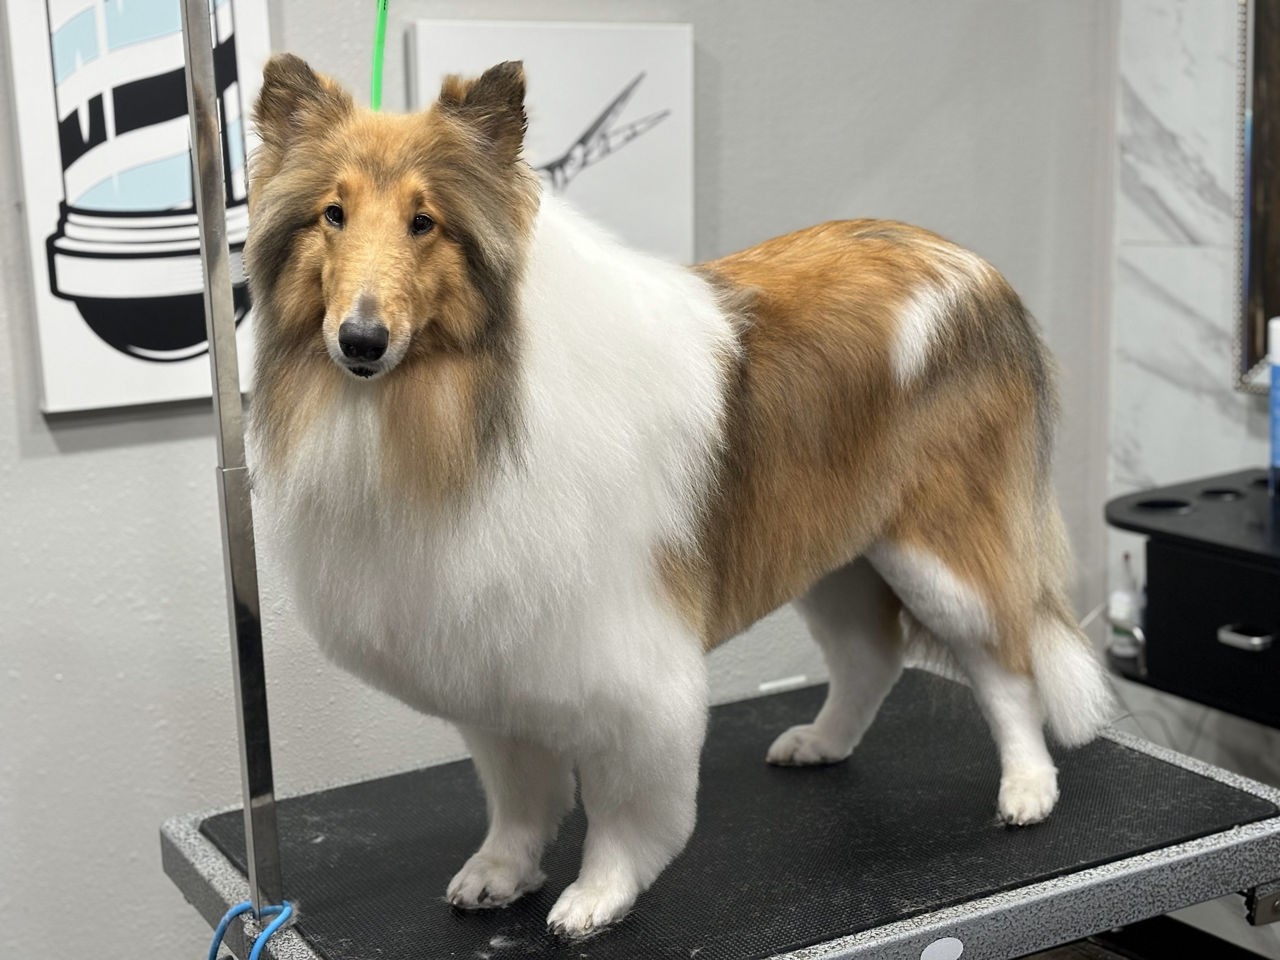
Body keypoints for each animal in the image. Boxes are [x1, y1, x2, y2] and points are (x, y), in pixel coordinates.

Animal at [247, 54, 1111, 942]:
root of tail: (975, 270)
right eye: (332, 214)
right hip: (833, 546)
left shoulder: (628, 665)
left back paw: (1027, 790)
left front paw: (597, 896)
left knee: (1006, 663)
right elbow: (517, 793)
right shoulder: (491, 651)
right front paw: (498, 873)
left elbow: (624, 804)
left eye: (425, 221)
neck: (466, 400)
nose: (361, 341)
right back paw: (820, 742)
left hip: (939, 547)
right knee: (870, 656)